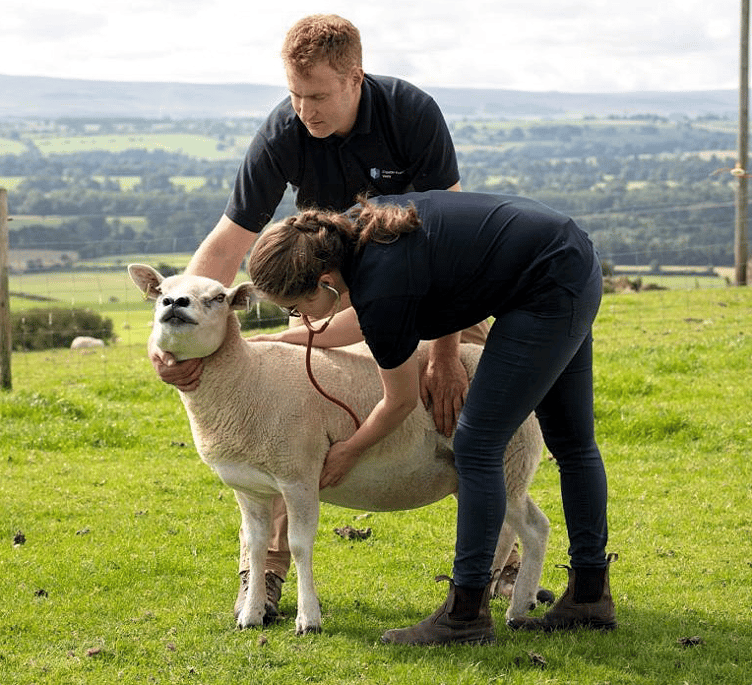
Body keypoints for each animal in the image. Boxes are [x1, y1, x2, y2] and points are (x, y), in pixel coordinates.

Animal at [128, 264, 550, 636]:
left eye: (218, 298)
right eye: (161, 291)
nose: (175, 304)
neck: (246, 378)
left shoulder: (299, 475)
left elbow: (299, 546)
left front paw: (308, 620)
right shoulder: (250, 488)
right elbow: (257, 546)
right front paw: (250, 616)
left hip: (507, 457)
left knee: (529, 529)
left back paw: (512, 607)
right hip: (497, 469)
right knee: (518, 529)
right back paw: (502, 601)